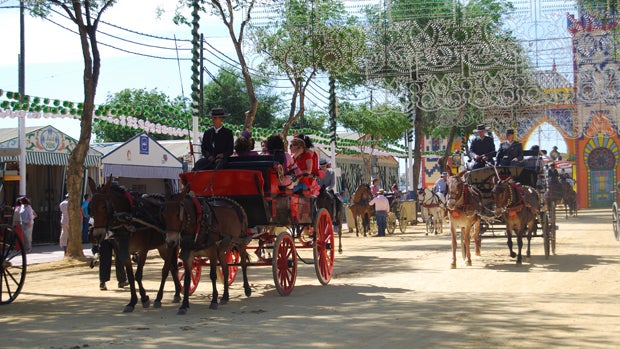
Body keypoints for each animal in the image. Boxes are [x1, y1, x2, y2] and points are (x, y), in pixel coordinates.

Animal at [88, 178, 183, 312]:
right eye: (90, 207)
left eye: (103, 206)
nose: (96, 236)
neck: (129, 218)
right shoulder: (124, 250)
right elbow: (131, 276)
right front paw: (132, 302)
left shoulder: (143, 250)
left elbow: (138, 275)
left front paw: (144, 298)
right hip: (163, 246)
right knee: (172, 268)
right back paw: (177, 293)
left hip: (170, 245)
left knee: (166, 270)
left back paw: (160, 298)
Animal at [163, 185, 253, 316]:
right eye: (163, 214)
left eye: (177, 214)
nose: (171, 241)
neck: (199, 223)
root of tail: (235, 205)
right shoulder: (188, 255)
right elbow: (187, 280)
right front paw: (184, 305)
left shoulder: (212, 253)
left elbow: (213, 275)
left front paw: (214, 301)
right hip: (222, 249)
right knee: (226, 269)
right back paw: (225, 296)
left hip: (240, 242)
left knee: (243, 264)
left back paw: (247, 289)